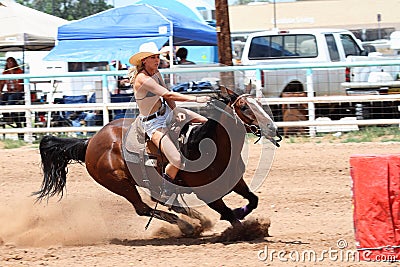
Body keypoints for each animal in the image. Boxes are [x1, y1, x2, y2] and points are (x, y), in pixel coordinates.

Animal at [35, 87, 282, 237]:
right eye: (244, 107)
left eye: (261, 104)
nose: (272, 128)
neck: (207, 145)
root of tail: (90, 142)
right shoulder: (207, 193)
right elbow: (230, 214)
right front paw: (245, 229)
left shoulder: (236, 181)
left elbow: (253, 199)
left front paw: (241, 213)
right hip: (120, 184)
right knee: (143, 208)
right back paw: (186, 225)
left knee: (160, 200)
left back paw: (197, 220)